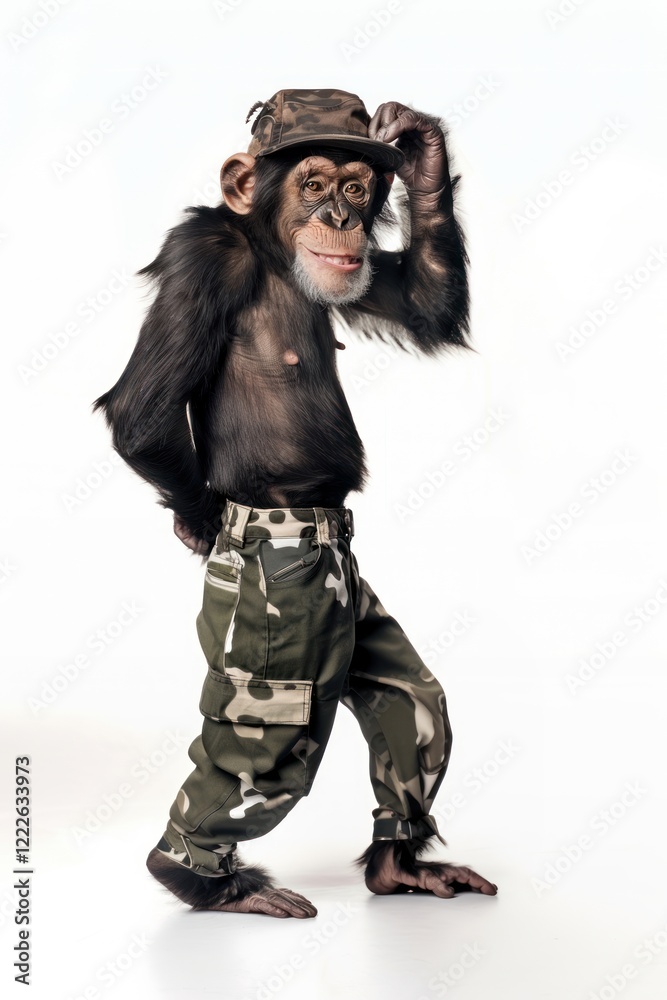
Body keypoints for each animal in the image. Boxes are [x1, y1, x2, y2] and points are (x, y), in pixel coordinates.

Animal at [93, 90, 497, 917]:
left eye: (356, 186)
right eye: (312, 183)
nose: (340, 217)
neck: (271, 252)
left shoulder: (354, 278)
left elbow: (419, 301)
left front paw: (418, 146)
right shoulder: (201, 256)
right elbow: (141, 413)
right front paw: (197, 520)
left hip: (355, 615)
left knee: (412, 701)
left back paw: (398, 865)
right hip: (284, 638)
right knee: (271, 747)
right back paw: (200, 879)